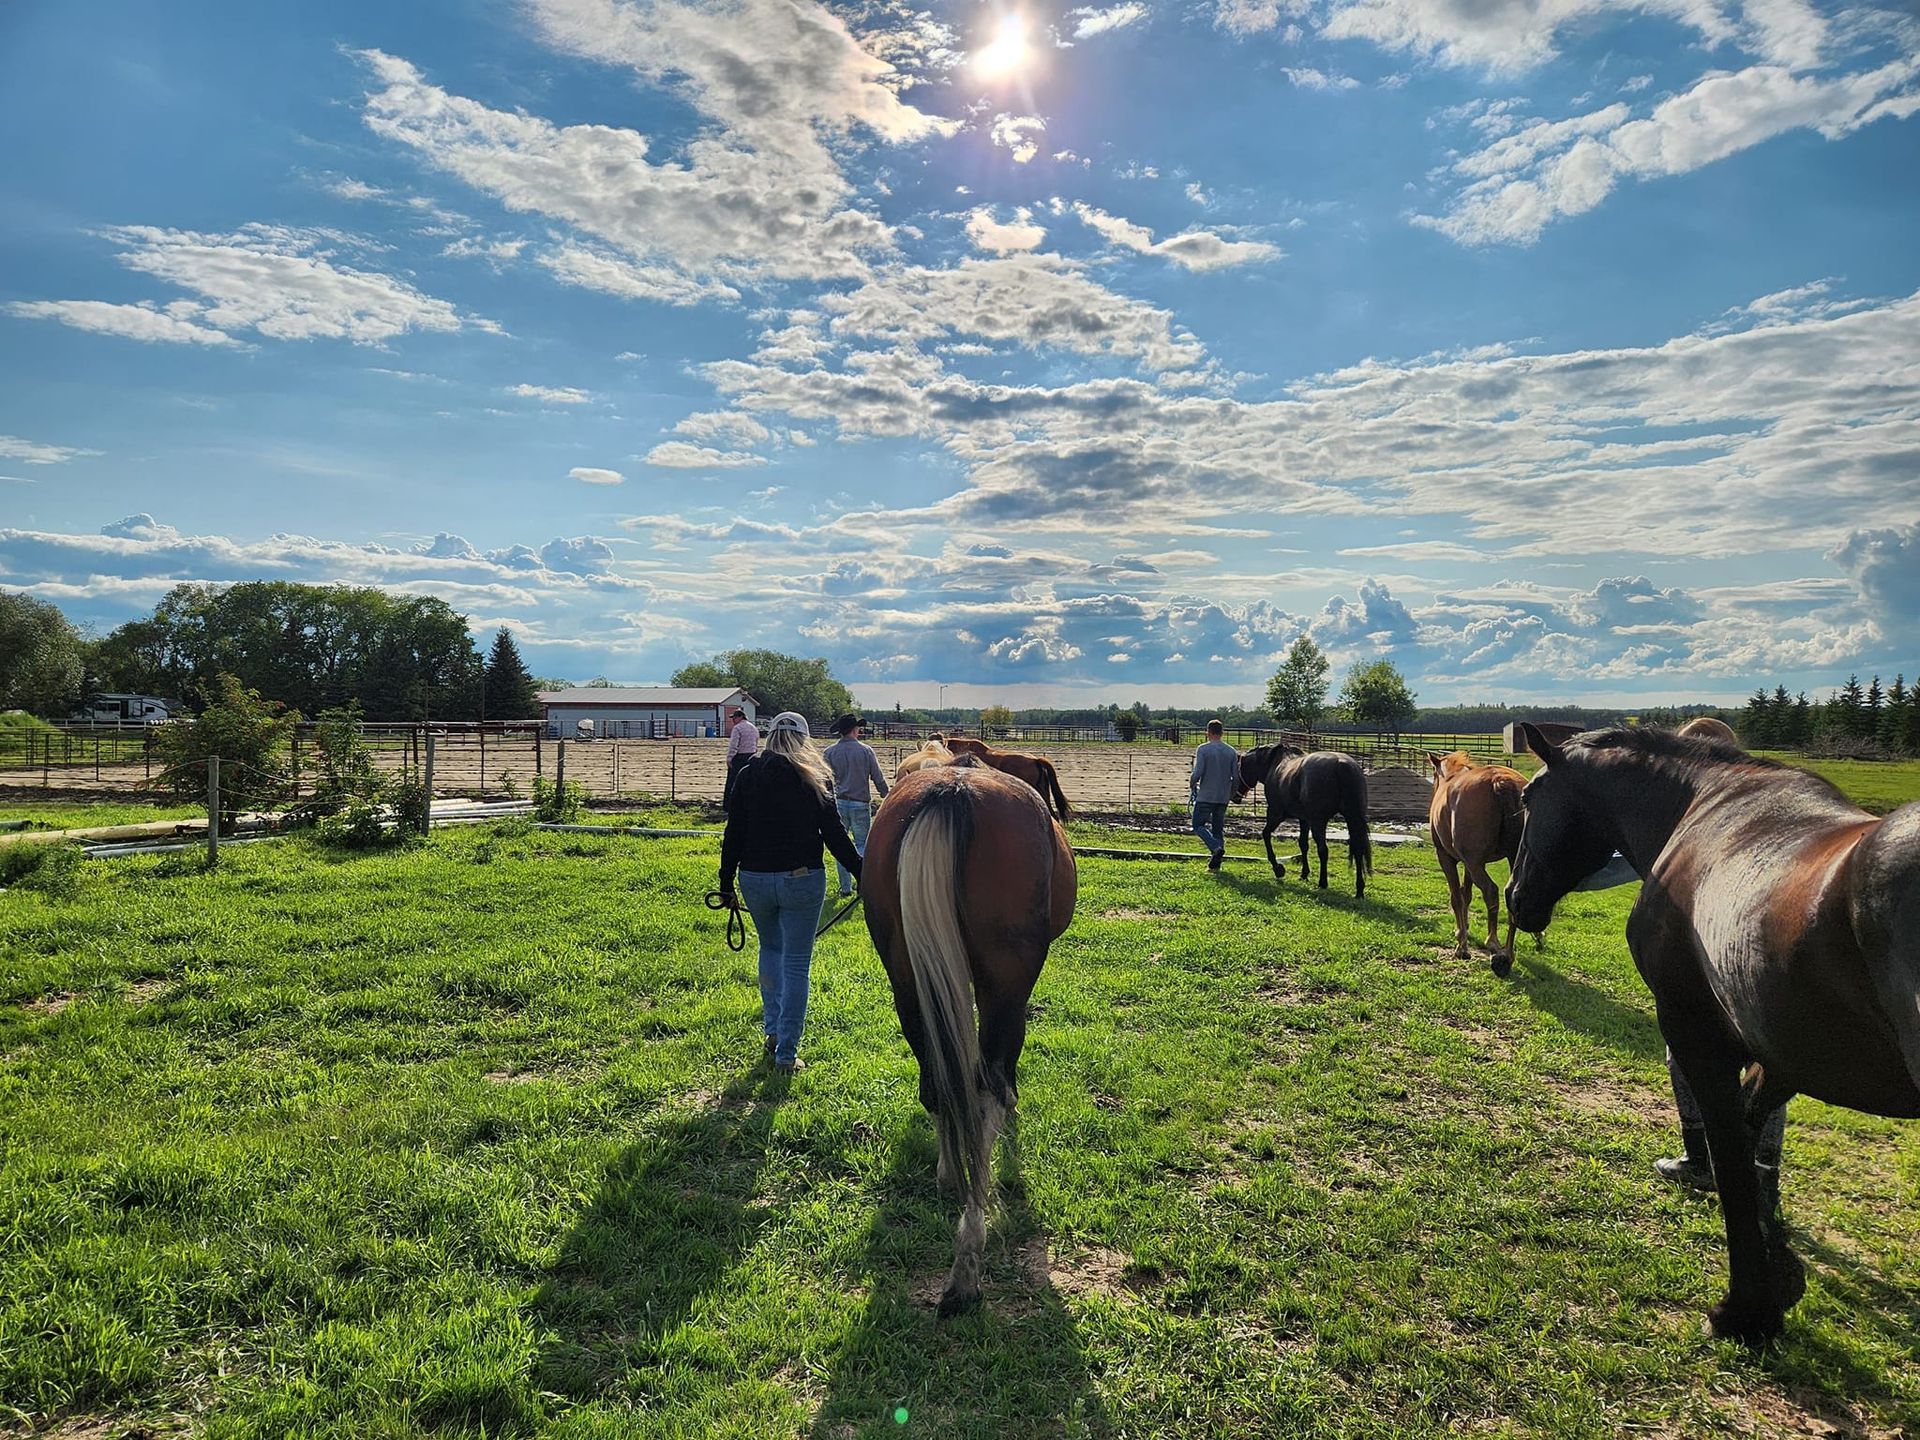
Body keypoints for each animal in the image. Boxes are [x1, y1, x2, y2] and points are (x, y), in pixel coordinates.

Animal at [862, 760, 1078, 1316]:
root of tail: (951, 790)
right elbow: (999, 1076)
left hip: (907, 981)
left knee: (940, 1078)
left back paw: (948, 1174)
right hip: (1005, 981)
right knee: (984, 1090)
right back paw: (966, 1264)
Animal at [1234, 744, 1373, 897]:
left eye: (1238, 769)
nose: (1235, 797)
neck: (1274, 764)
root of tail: (1342, 765)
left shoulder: (1276, 814)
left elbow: (1265, 835)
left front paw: (1278, 869)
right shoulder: (1304, 819)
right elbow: (1303, 844)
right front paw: (1304, 874)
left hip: (1319, 822)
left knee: (1323, 850)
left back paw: (1323, 883)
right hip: (1352, 818)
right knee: (1358, 850)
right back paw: (1359, 889)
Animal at [1427, 750, 1530, 976]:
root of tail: (1500, 781)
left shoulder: (1448, 858)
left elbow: (1456, 897)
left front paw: (1461, 944)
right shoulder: (1469, 864)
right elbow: (1466, 894)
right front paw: (1462, 928)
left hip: (1475, 864)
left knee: (1491, 891)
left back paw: (1492, 943)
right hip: (1512, 858)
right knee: (1512, 895)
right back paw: (1507, 955)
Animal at [1506, 723, 1920, 1344]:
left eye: (1530, 798)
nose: (1514, 896)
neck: (1703, 806)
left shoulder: (1695, 1029)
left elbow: (1732, 1160)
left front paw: (1745, 1309)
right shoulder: (1780, 1054)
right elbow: (1751, 1144)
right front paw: (1779, 1270)